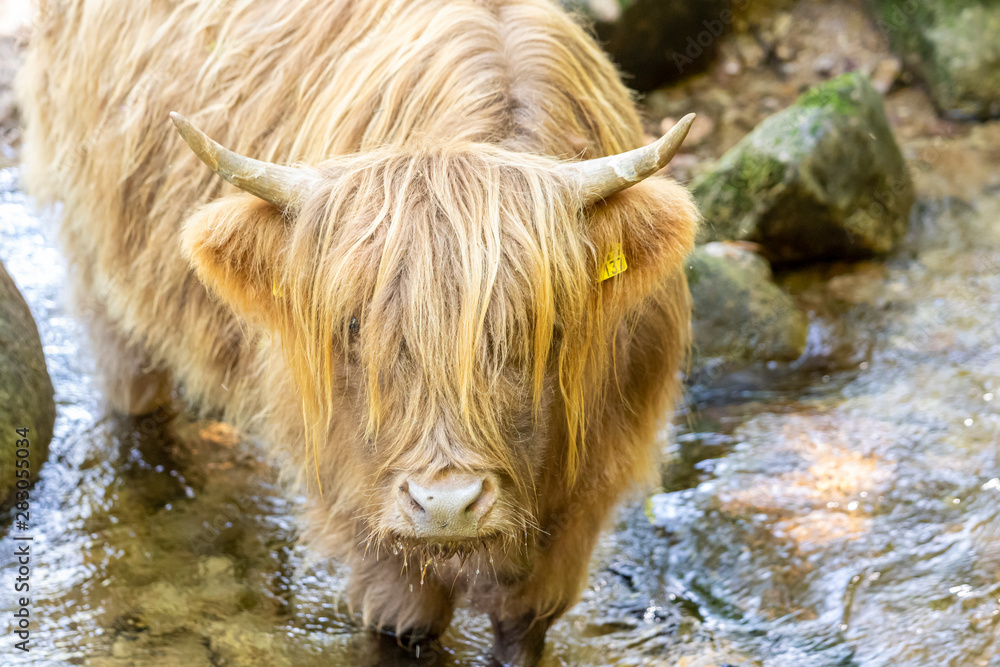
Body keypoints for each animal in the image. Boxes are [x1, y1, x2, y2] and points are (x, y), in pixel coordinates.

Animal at [17, 0, 699, 664]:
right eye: (352, 324)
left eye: (544, 326)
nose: (445, 505)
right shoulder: (356, 501)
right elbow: (403, 627)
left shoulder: (580, 510)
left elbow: (519, 630)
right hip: (100, 274)